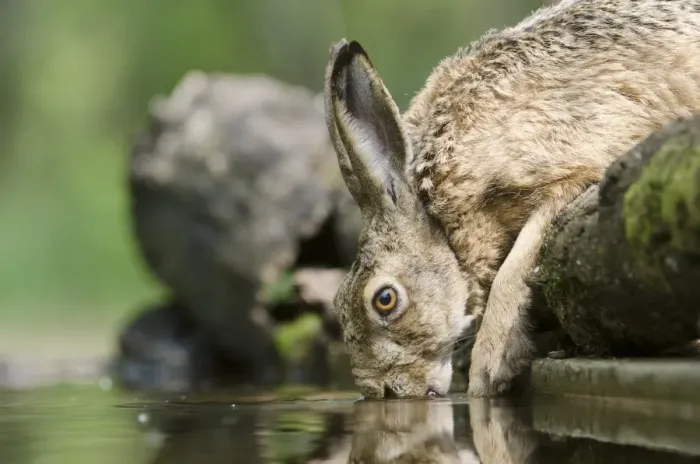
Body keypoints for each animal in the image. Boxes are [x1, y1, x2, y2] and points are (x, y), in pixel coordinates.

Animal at [323, 0, 700, 398]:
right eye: (337, 302)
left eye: (385, 299)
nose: (381, 392)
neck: (442, 224)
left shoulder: (575, 172)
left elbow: (513, 267)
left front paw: (489, 369)